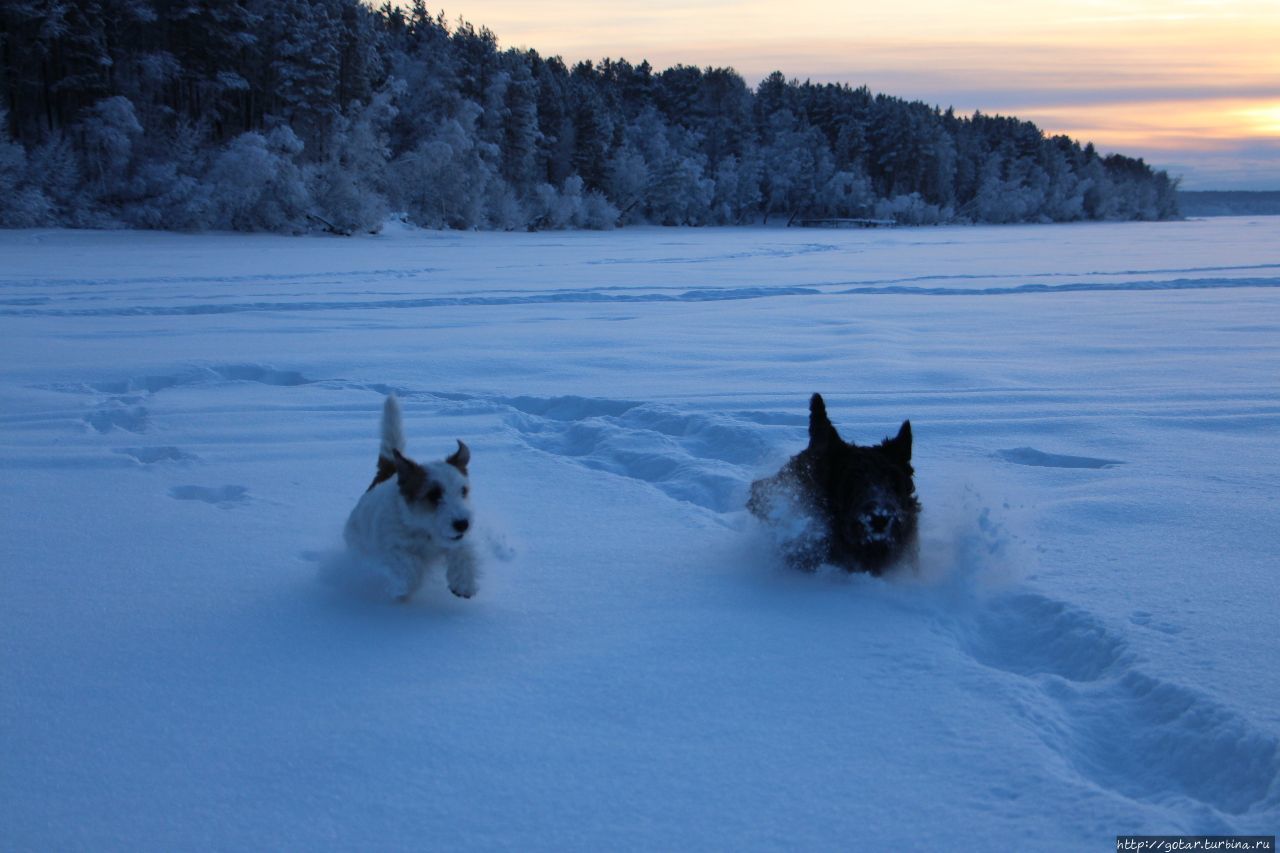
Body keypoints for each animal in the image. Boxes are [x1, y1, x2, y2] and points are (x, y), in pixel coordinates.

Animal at [343, 394, 478, 596]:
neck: (424, 529)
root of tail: (390, 470)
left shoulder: (457, 541)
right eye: (433, 494)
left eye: (463, 490)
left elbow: (464, 552)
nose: (463, 524)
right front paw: (402, 585)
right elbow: (406, 563)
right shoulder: (392, 548)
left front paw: (464, 581)